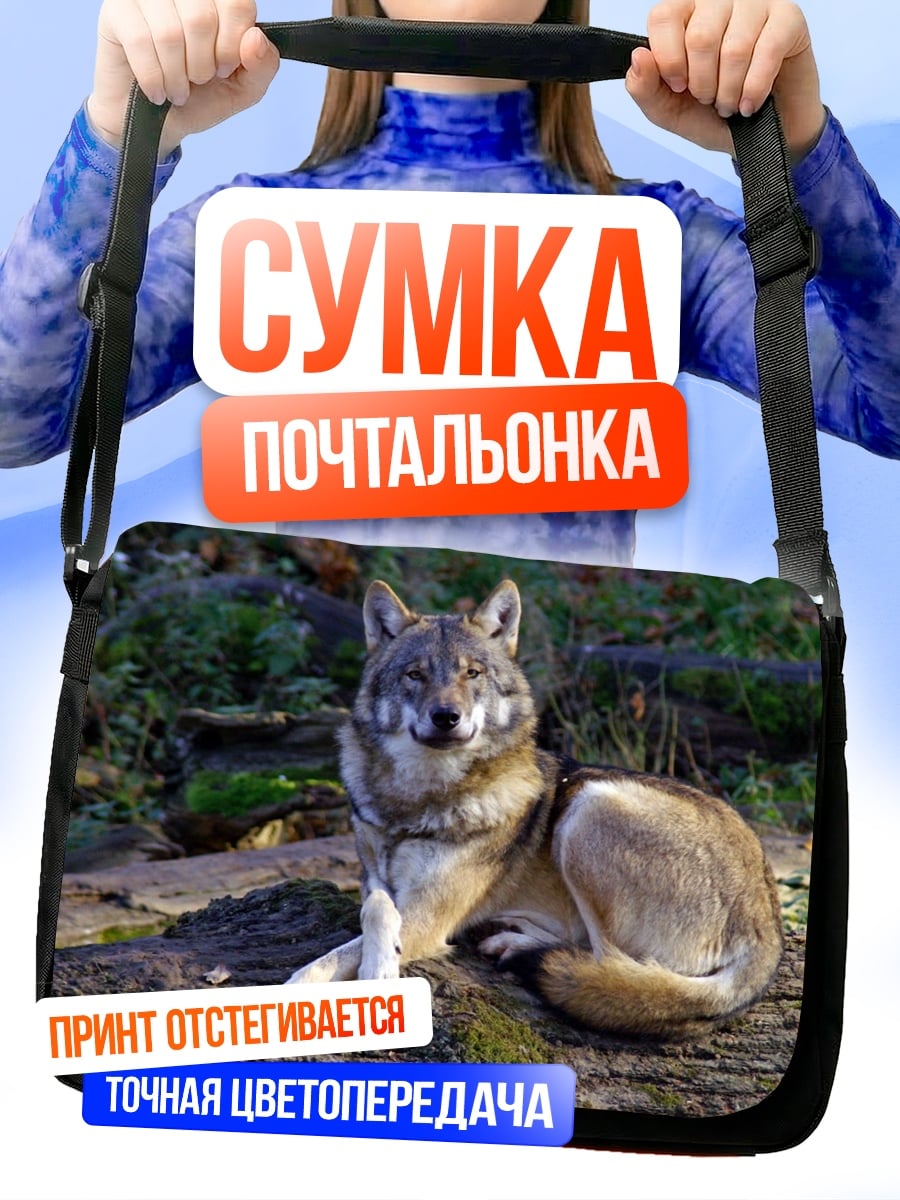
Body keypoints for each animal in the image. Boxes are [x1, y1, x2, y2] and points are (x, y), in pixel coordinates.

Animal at [286, 579, 784, 1038]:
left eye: (473, 673)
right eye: (415, 675)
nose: (446, 717)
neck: (416, 800)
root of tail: (769, 924)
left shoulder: (429, 917)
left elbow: (352, 944)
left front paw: (373, 971)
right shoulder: (377, 881)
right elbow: (374, 908)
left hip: (589, 806)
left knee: (610, 966)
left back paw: (519, 947)